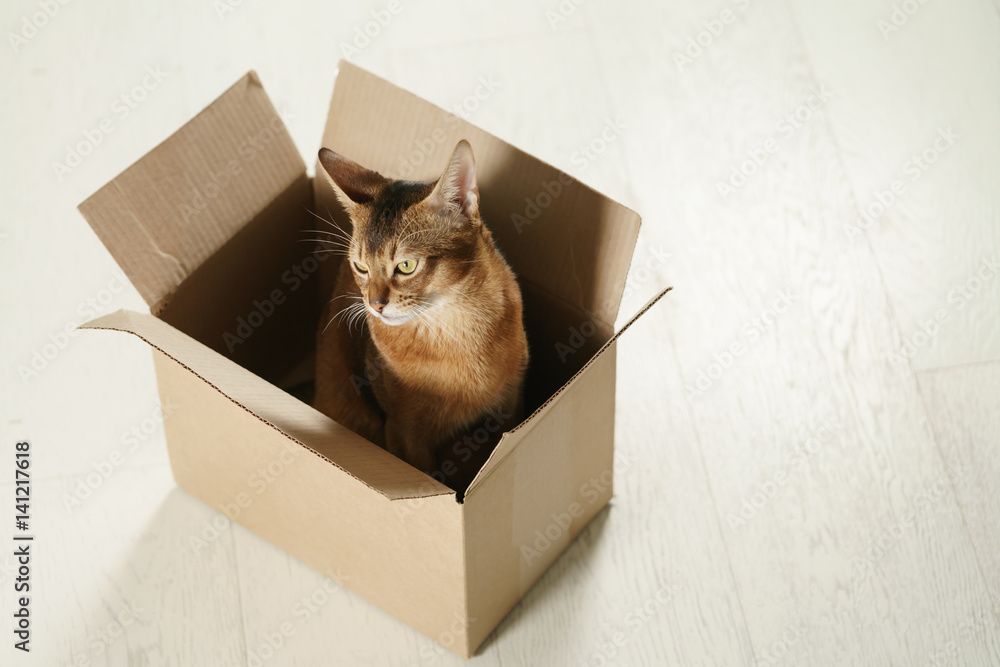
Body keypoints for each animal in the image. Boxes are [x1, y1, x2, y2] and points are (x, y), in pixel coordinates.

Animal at [314, 140, 532, 486]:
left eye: (406, 265)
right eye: (361, 267)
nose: (375, 305)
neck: (453, 328)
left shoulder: (509, 407)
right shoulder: (404, 433)